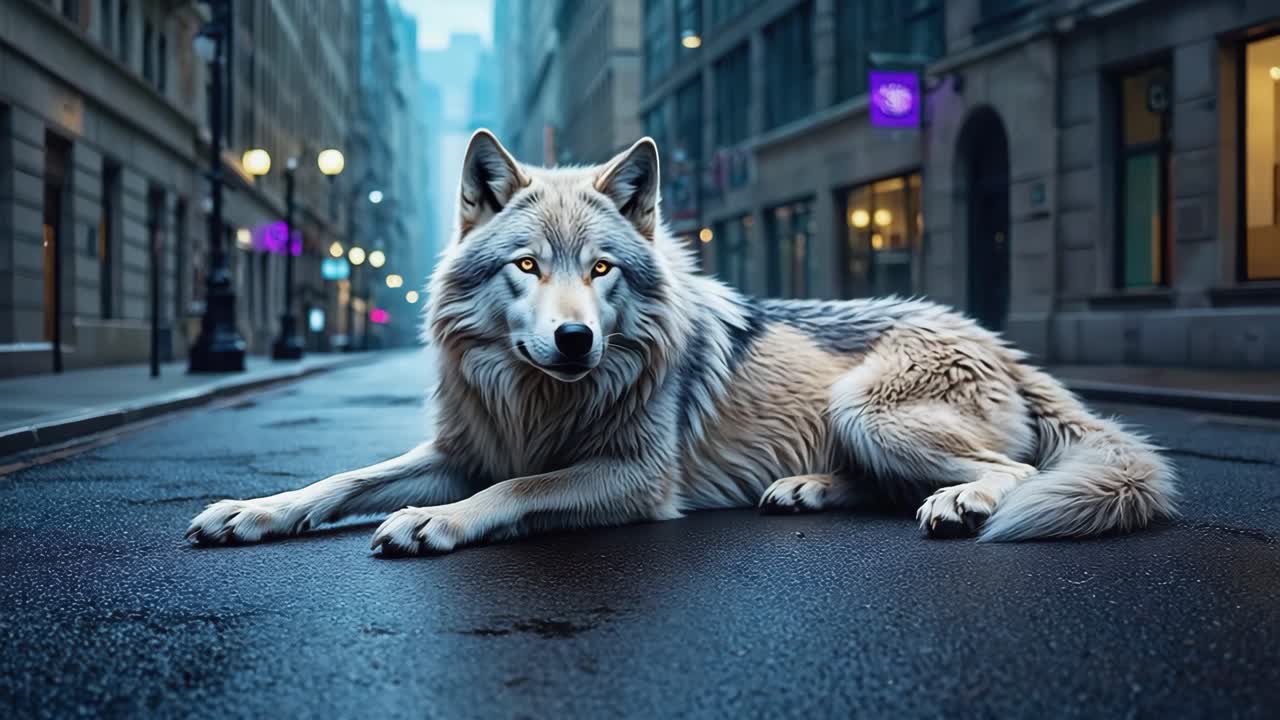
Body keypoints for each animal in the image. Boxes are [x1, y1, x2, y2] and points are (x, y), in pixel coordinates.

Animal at [187, 130, 1177, 554]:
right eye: (525, 265)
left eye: (601, 268)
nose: (575, 339)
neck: (541, 400)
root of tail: (997, 340)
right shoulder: (460, 448)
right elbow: (343, 480)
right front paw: (255, 511)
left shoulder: (635, 476)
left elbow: (517, 487)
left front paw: (437, 521)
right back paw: (810, 489)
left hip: (866, 410)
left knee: (1013, 473)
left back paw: (960, 503)